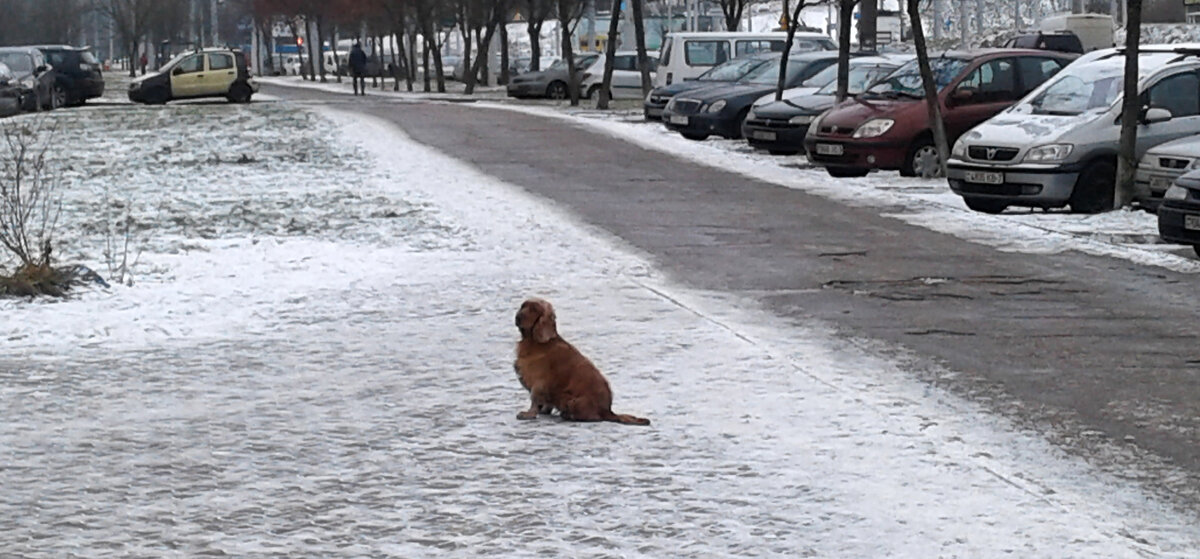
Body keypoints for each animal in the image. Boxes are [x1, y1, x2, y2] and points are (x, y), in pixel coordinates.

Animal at [511, 298, 652, 424]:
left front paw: (529, 414)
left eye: (534, 309)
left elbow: (534, 400)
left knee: (592, 417)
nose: (517, 317)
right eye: (523, 306)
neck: (534, 341)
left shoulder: (539, 383)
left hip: (571, 401)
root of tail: (608, 411)